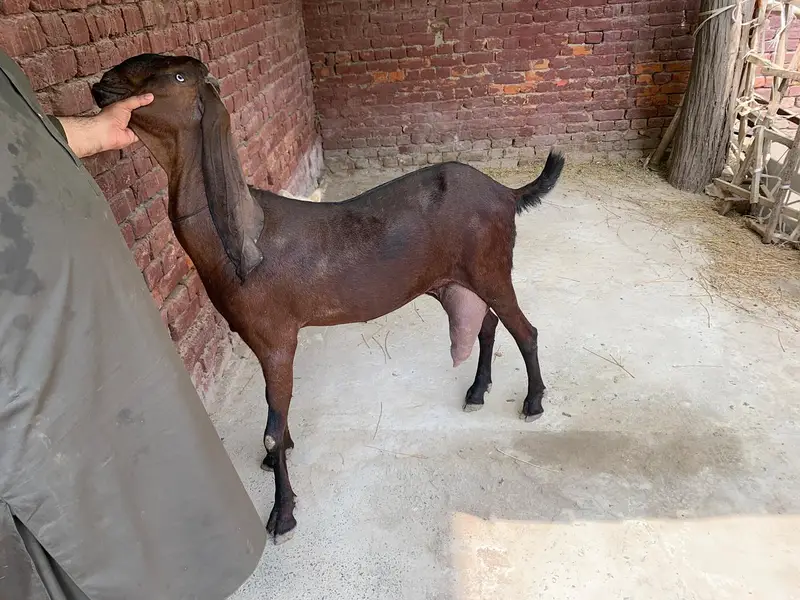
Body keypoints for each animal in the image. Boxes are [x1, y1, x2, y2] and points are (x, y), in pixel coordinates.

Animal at [92, 53, 565, 544]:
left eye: (179, 75)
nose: (104, 84)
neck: (245, 237)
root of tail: (506, 192)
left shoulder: (277, 338)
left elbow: (270, 429)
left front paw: (282, 514)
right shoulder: (260, 340)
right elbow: (275, 416)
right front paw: (278, 460)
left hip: (491, 269)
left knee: (525, 330)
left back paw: (533, 403)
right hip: (463, 279)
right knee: (487, 323)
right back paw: (476, 390)